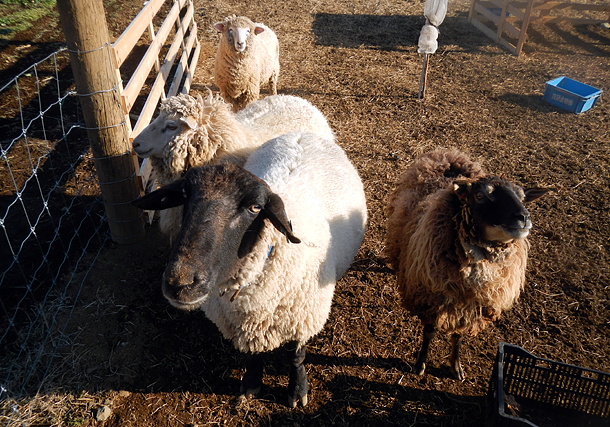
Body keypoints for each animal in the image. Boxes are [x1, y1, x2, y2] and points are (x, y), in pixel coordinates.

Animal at [131, 131, 366, 408]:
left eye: (255, 207)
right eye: (185, 195)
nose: (180, 283)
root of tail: (302, 134)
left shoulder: (302, 317)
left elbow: (295, 357)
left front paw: (297, 392)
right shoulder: (243, 327)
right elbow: (252, 356)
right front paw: (252, 385)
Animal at [384, 150, 548, 382]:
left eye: (523, 197)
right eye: (480, 195)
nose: (523, 217)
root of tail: (448, 155)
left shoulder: (472, 309)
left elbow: (458, 336)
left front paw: (456, 367)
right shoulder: (431, 297)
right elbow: (429, 332)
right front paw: (420, 364)